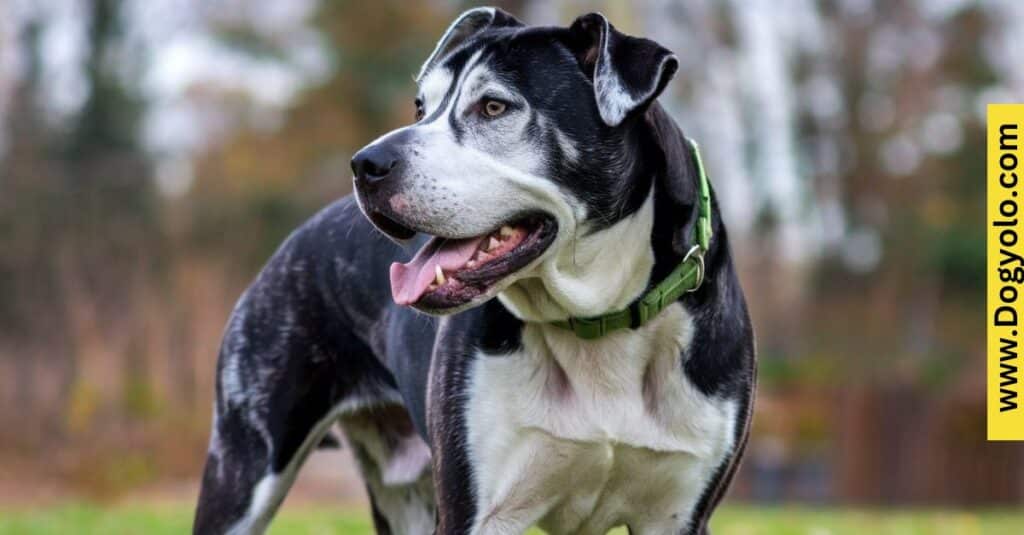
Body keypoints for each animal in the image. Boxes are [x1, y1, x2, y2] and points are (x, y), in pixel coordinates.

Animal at [193, 8, 753, 532]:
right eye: (421, 107)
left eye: (494, 106)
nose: (365, 164)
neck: (598, 320)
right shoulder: (475, 510)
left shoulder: (678, 515)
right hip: (243, 467)